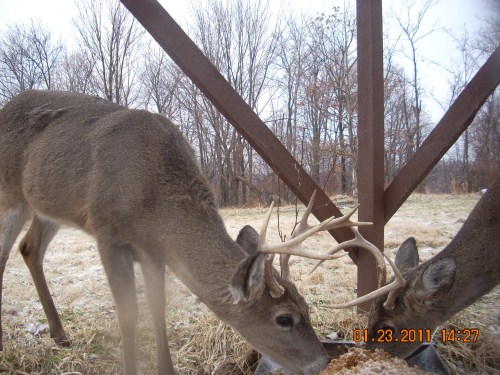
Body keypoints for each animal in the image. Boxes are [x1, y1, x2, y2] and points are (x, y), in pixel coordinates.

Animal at [0, 90, 402, 375]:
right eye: (285, 318)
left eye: (307, 306)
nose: (323, 363)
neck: (153, 202)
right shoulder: (107, 233)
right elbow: (129, 313)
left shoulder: (153, 251)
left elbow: (158, 308)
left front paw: (167, 370)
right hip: (11, 195)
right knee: (7, 253)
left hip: (47, 205)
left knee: (29, 248)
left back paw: (60, 334)